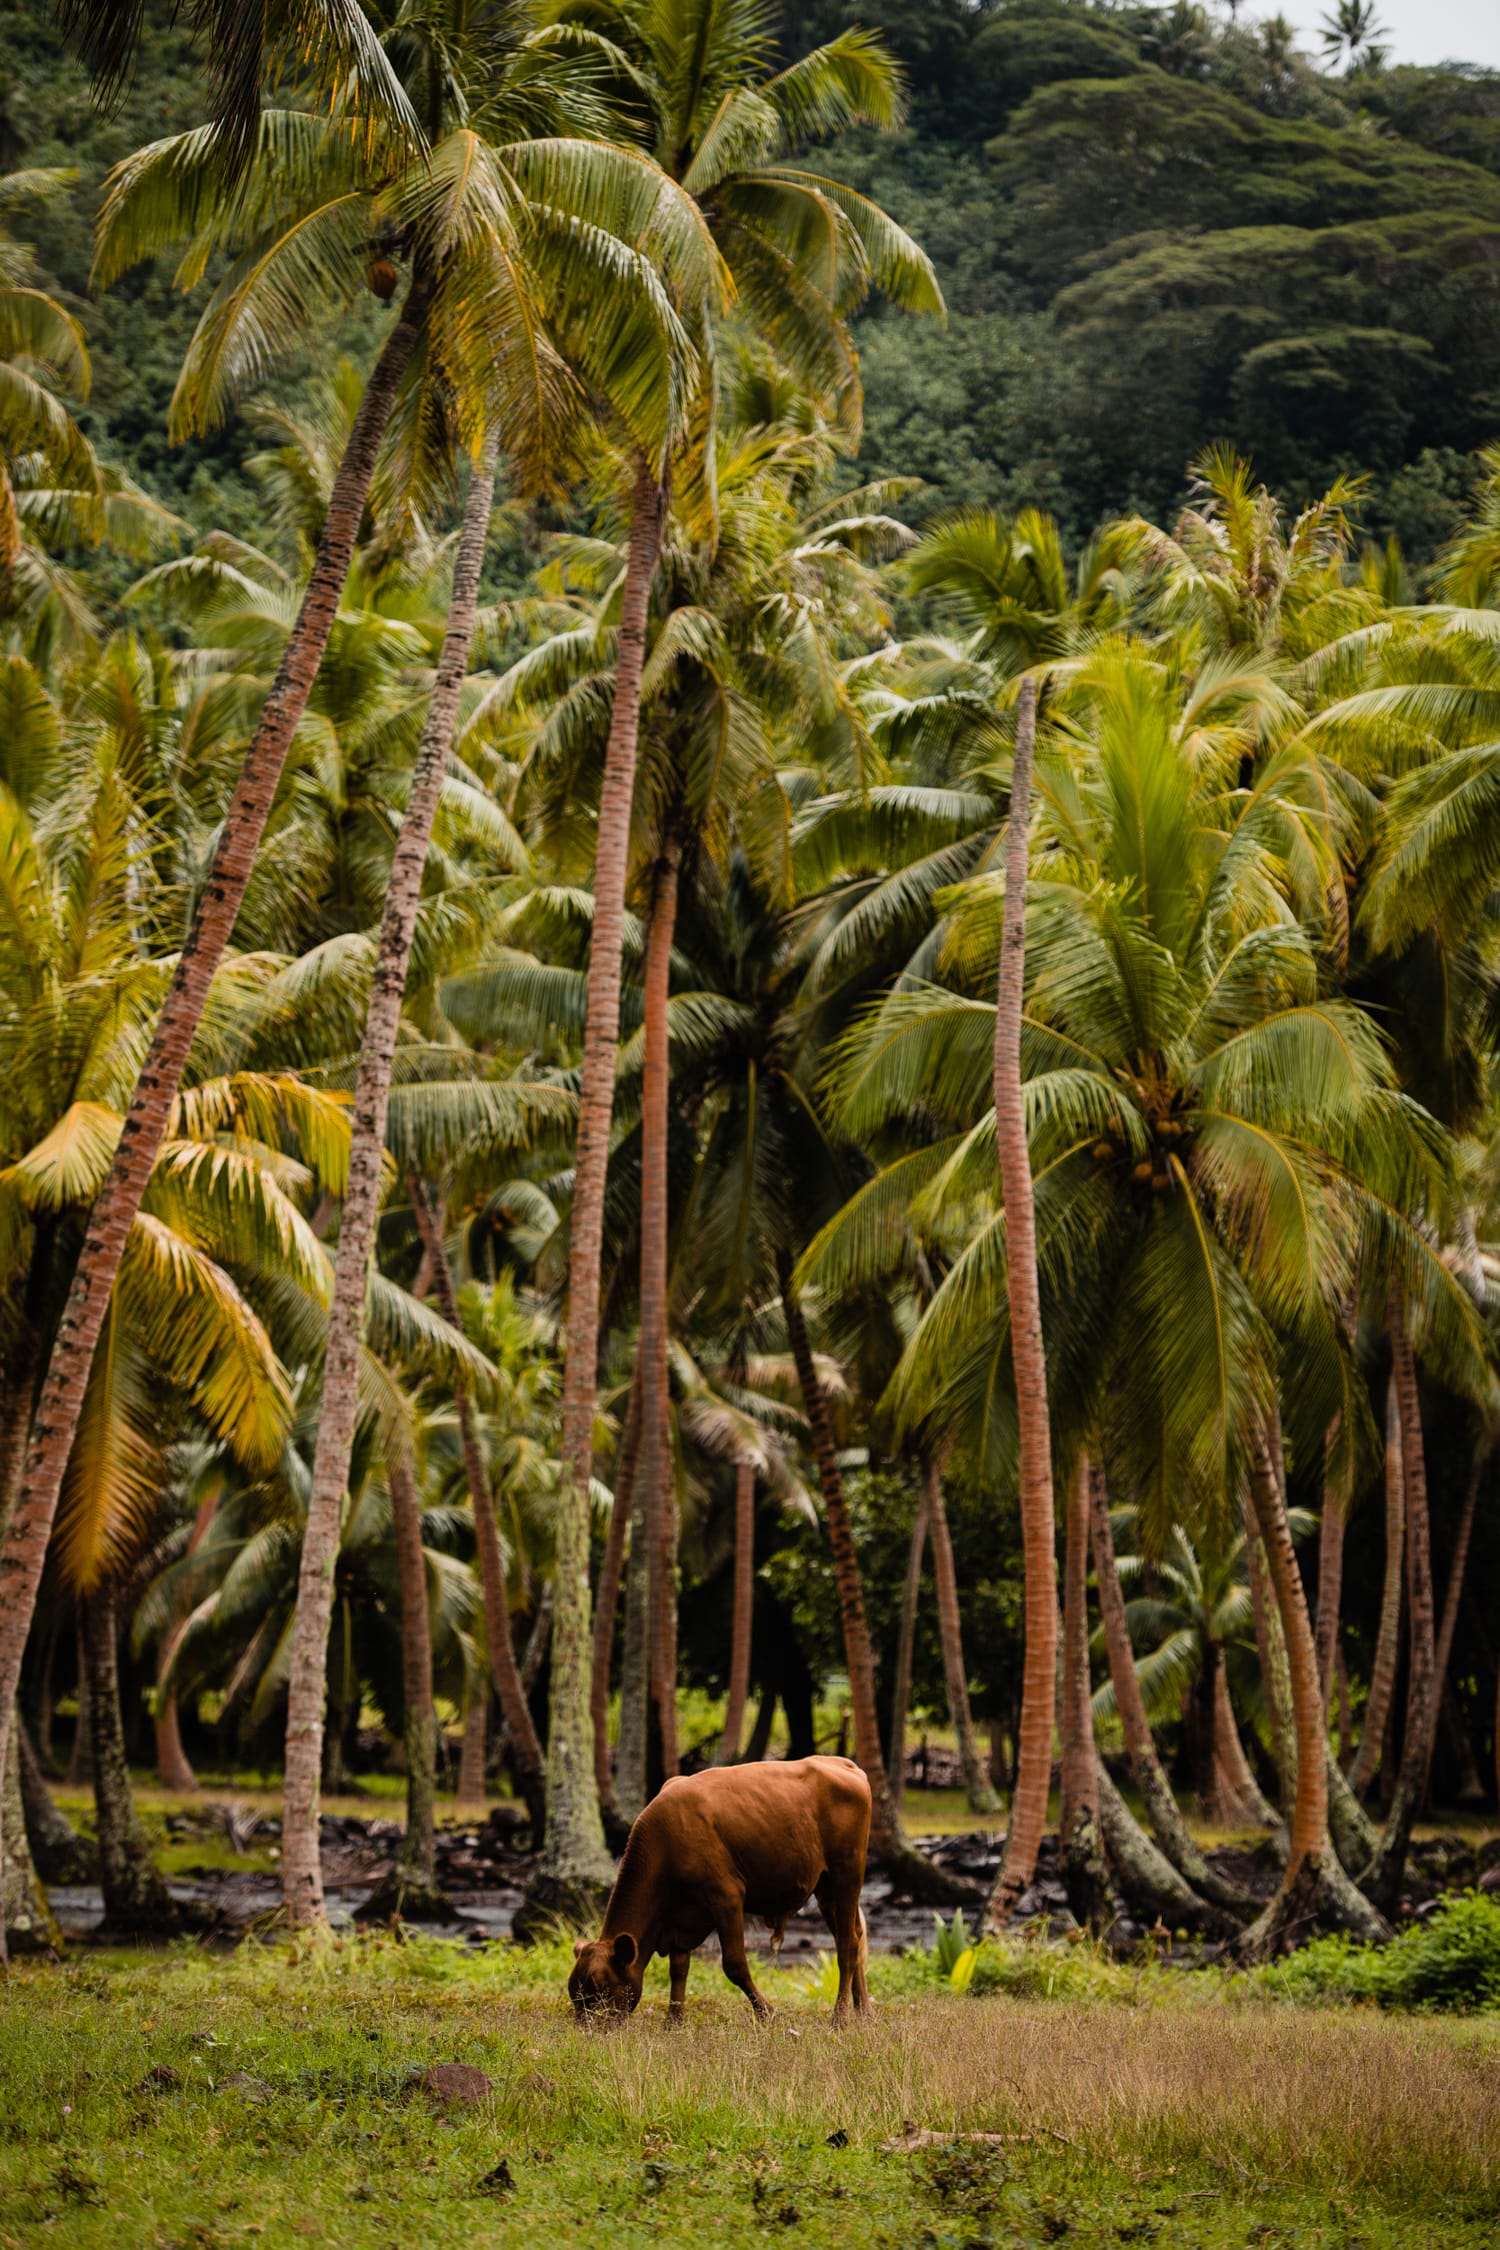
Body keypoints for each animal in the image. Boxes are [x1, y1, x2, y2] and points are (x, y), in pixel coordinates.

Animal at [568, 1746, 872, 2034]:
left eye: (602, 1990)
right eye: (575, 1993)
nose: (585, 2032)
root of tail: (843, 1763)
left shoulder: (726, 1896)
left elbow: (735, 1964)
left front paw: (768, 2013)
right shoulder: (680, 1918)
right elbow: (678, 1968)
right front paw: (674, 2022)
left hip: (847, 1872)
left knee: (847, 1944)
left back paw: (840, 2018)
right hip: (826, 1886)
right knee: (855, 1936)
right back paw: (863, 2014)